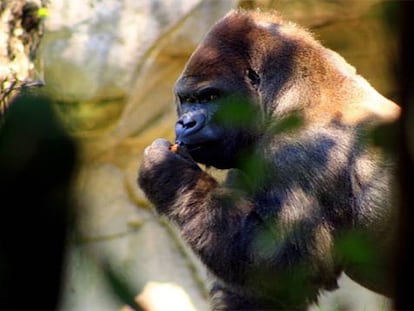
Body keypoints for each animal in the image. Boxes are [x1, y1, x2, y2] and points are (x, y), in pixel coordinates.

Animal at [138, 8, 402, 310]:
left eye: (210, 96)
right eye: (188, 99)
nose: (185, 123)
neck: (294, 93)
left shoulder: (296, 152)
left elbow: (286, 265)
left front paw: (167, 172)